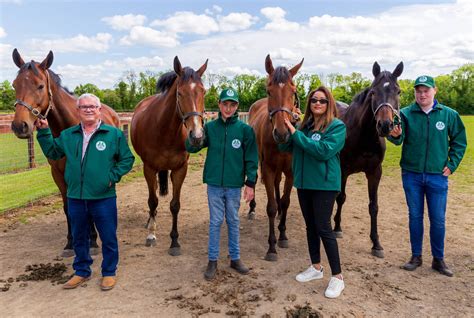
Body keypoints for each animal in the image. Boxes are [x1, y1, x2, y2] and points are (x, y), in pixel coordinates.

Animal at [11, 49, 120, 258]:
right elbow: (68, 207)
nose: (20, 126)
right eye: (14, 85)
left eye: (40, 86)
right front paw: (71, 243)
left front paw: (92, 241)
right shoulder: (58, 174)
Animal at [131, 56, 206, 256]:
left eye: (203, 92)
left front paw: (174, 241)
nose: (197, 136)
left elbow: (175, 205)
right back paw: (151, 222)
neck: (165, 130)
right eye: (179, 93)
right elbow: (152, 201)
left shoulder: (180, 169)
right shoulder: (149, 168)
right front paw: (151, 235)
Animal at [246, 54, 302, 262]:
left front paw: (283, 235)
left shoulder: (291, 171)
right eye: (269, 91)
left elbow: (285, 202)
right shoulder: (268, 168)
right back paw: (252, 209)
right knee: (254, 181)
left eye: (293, 91)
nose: (282, 133)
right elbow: (270, 206)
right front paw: (271, 247)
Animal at [334, 60, 404, 258]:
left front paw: (376, 244)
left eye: (398, 91)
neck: (364, 135)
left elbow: (374, 206)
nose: (385, 125)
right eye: (373, 92)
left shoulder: (374, 172)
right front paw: (337, 227)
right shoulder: (343, 170)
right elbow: (341, 197)